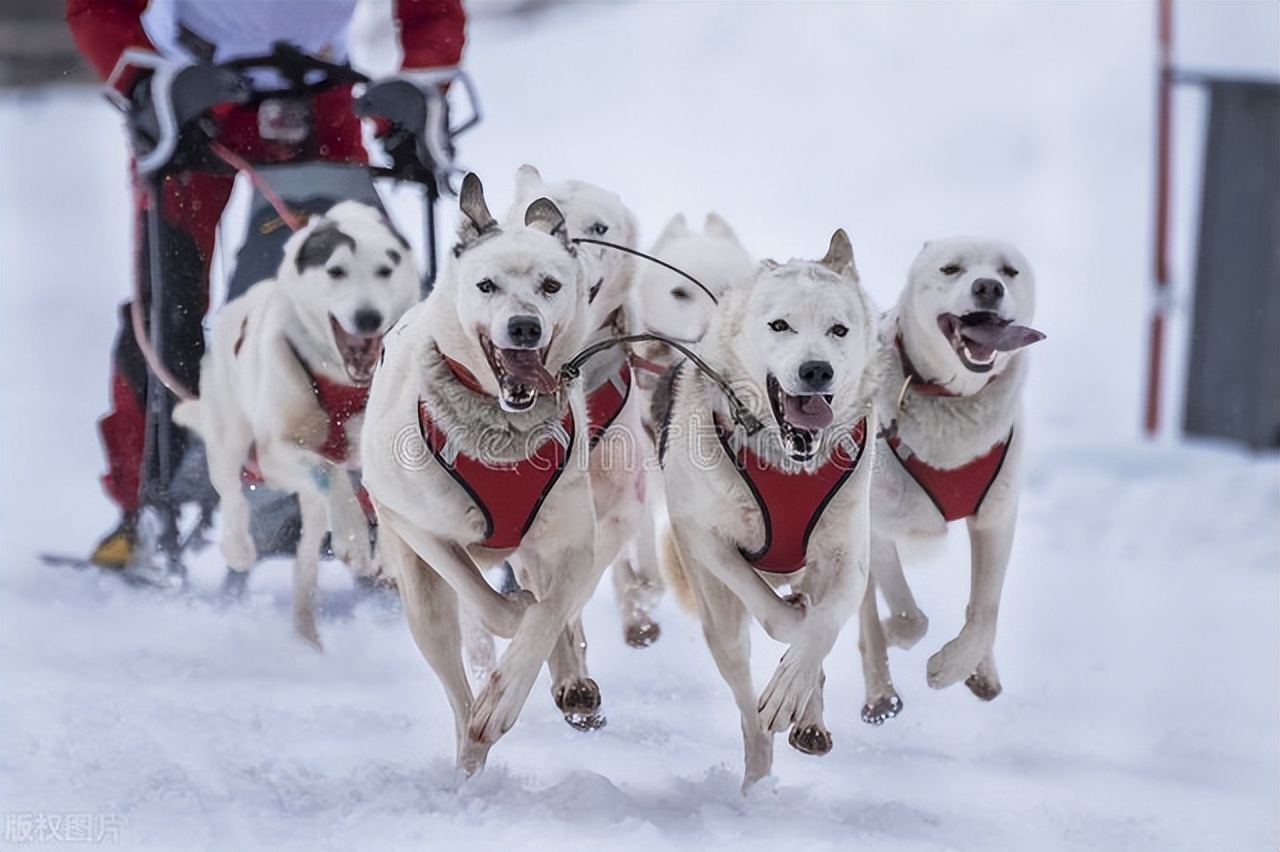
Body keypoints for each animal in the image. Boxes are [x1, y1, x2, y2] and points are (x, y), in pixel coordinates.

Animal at [175, 200, 419, 644]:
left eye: (385, 270)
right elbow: (328, 469)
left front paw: (391, 557)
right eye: (336, 271)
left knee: (306, 551)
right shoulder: (276, 450)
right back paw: (239, 549)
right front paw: (355, 537)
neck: (341, 381)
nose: (368, 317)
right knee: (232, 494)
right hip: (232, 440)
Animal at [360, 171, 599, 767]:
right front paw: (512, 621)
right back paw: (471, 749)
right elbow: (494, 607)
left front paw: (510, 692)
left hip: (539, 546)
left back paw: (568, 679)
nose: (524, 327)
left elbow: (550, 614)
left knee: (554, 610)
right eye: (487, 285)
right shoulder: (416, 525)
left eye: (550, 285)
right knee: (455, 685)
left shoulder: (574, 544)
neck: (503, 436)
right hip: (422, 600)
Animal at [660, 227, 880, 788]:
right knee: (746, 708)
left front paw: (795, 683)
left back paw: (809, 715)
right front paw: (789, 665)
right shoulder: (706, 539)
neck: (789, 464)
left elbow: (824, 625)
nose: (816, 369)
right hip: (720, 623)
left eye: (839, 330)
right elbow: (778, 616)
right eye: (780, 325)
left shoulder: (849, 560)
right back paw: (758, 776)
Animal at [855, 234, 1044, 721]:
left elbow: (986, 609)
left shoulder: (996, 518)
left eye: (1009, 271)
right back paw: (879, 693)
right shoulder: (877, 527)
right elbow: (908, 618)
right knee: (865, 618)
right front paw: (898, 636)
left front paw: (955, 665)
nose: (988, 287)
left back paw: (984, 674)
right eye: (951, 268)